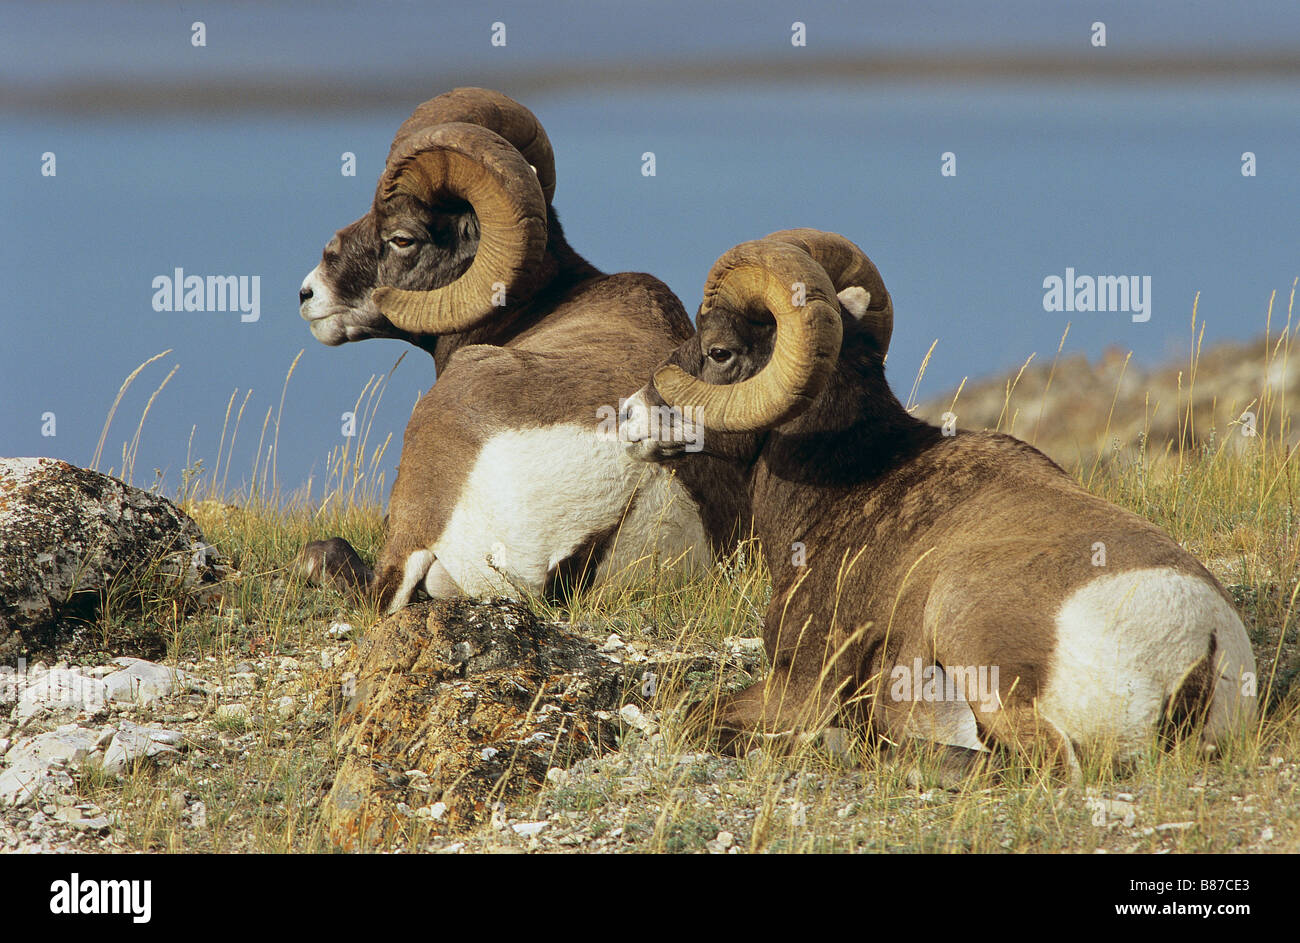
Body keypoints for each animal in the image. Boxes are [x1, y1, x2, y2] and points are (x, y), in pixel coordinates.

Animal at [619, 228, 1257, 775]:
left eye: (718, 351)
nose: (626, 414)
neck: (848, 485)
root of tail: (1200, 645)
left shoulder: (801, 684)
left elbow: (693, 716)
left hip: (966, 626)